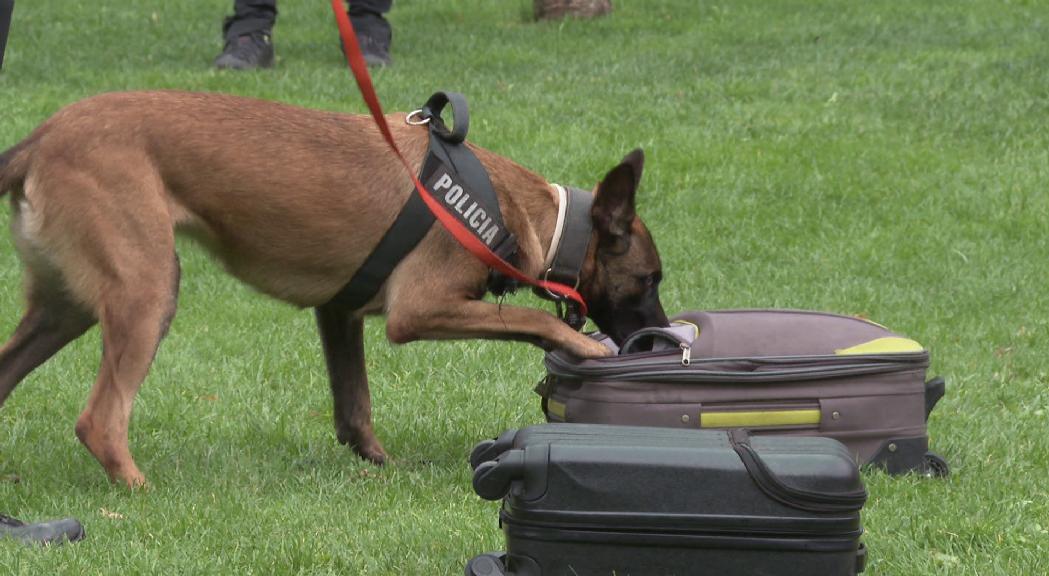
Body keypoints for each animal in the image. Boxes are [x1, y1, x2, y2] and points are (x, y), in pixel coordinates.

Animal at [0, 89, 667, 484]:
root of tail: (40, 139)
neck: (521, 212)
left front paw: (379, 466)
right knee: (100, 419)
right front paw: (580, 344)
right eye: (648, 280)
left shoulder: (338, 314)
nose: (661, 337)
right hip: (147, 290)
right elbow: (534, 319)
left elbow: (354, 406)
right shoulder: (419, 309)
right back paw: (138, 489)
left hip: (65, 309)